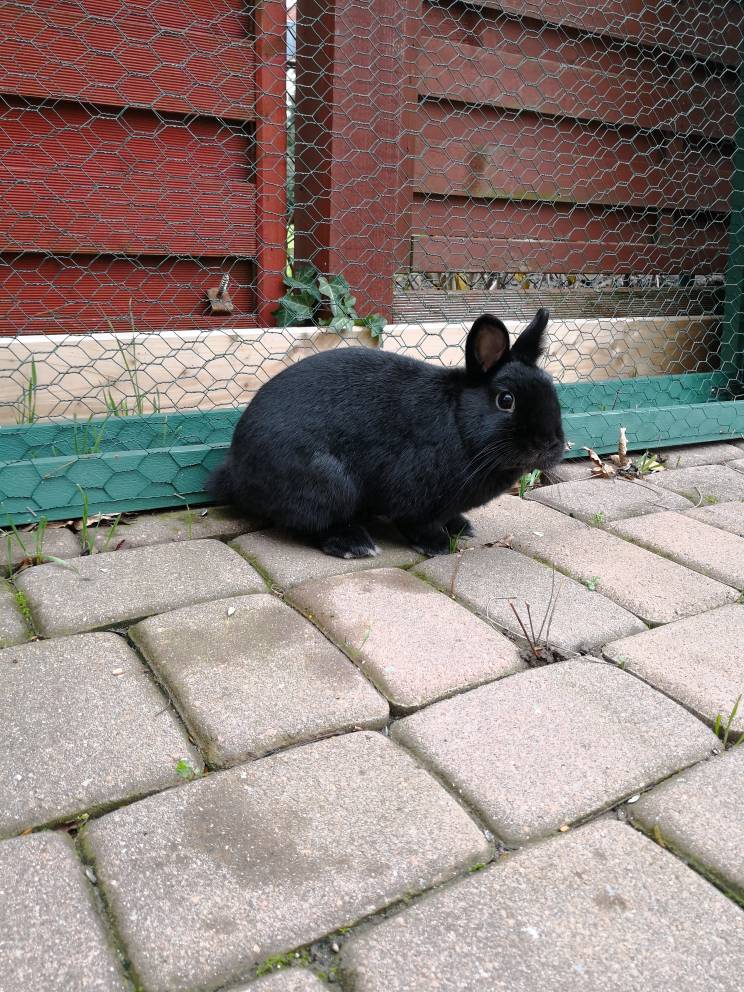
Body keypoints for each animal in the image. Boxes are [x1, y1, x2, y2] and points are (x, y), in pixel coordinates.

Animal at [209, 308, 565, 558]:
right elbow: (417, 523)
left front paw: (460, 527)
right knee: (311, 523)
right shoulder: (414, 492)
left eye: (551, 388)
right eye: (506, 400)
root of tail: (235, 472)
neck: (459, 422)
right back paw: (354, 544)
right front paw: (438, 544)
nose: (552, 445)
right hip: (327, 484)